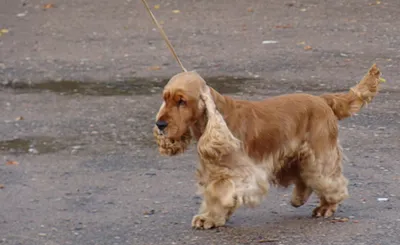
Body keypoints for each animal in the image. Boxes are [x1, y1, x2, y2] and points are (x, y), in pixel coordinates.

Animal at [152, 64, 382, 229]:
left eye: (181, 101)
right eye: (165, 98)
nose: (160, 124)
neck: (215, 120)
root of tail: (322, 100)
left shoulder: (242, 173)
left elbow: (220, 193)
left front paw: (211, 218)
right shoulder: (214, 171)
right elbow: (213, 193)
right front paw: (209, 217)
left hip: (319, 155)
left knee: (332, 182)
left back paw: (326, 207)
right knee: (305, 179)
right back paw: (299, 199)